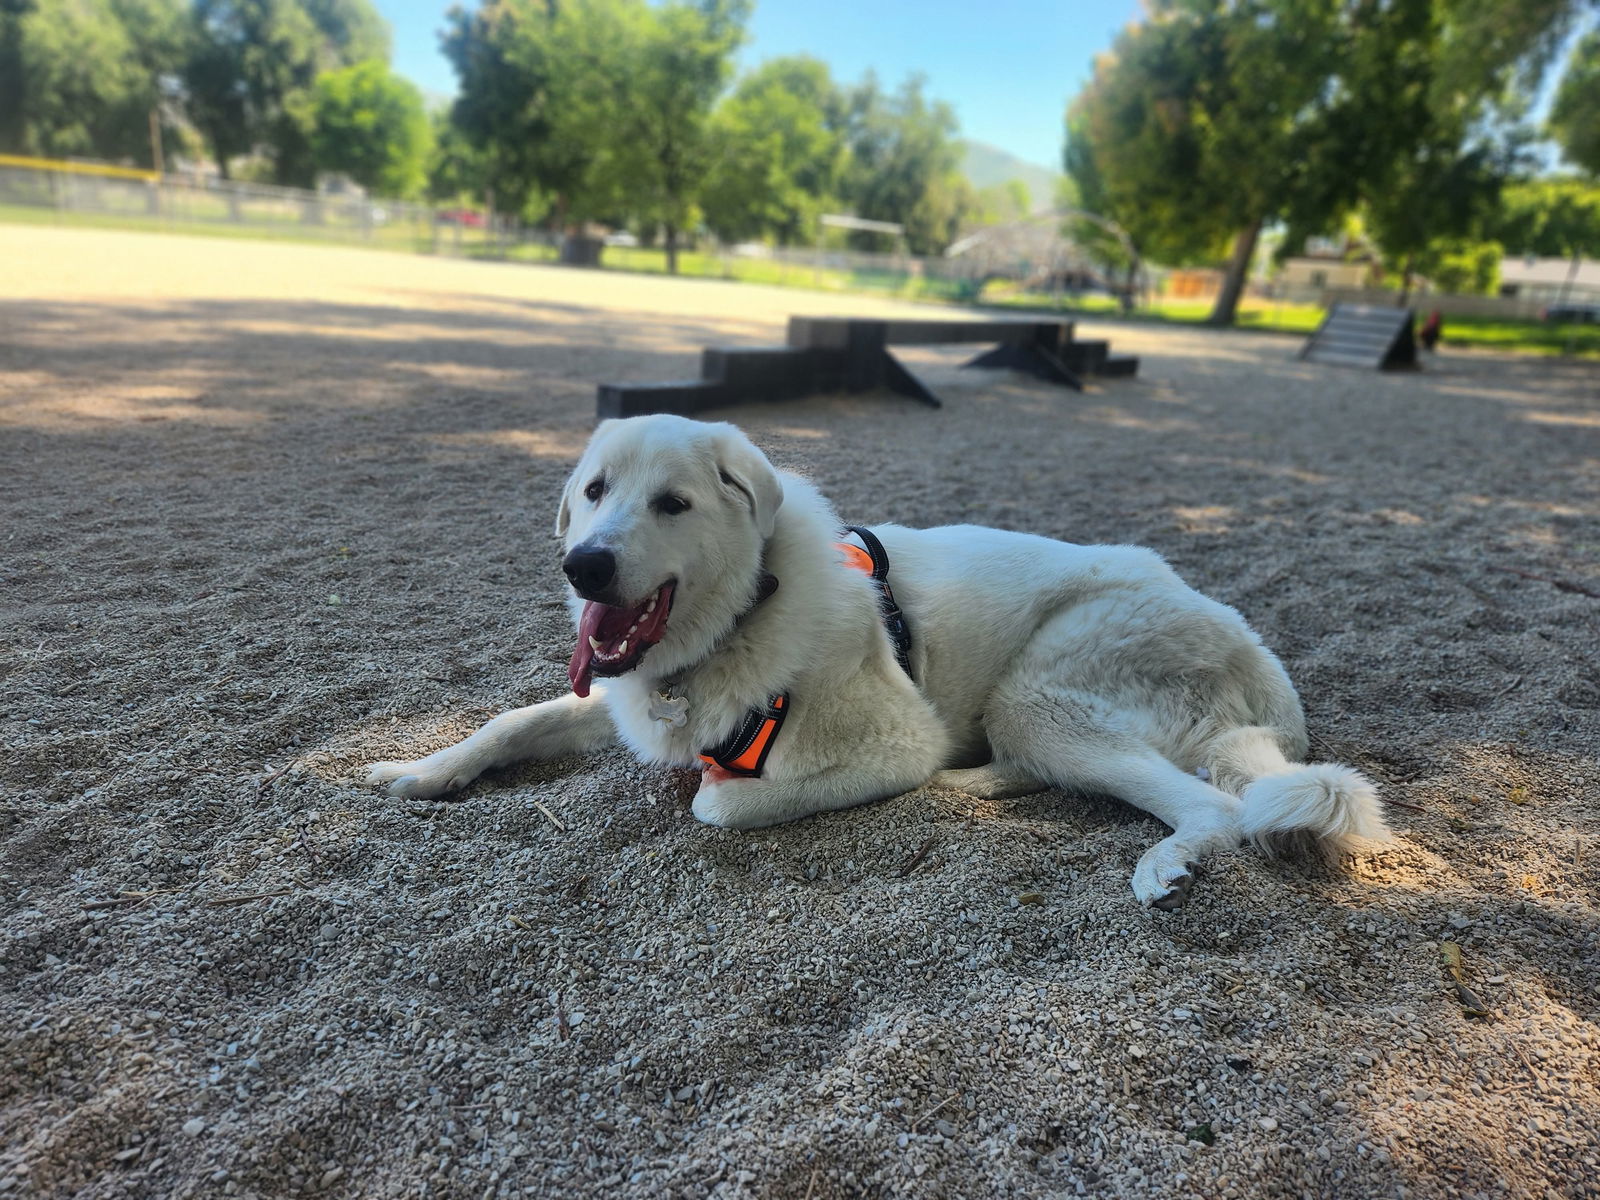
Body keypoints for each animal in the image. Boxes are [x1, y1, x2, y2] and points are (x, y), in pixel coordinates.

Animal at [371, 419, 1388, 908]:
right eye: (593, 491)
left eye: (672, 503)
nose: (583, 566)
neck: (746, 607)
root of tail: (1262, 668)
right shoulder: (623, 700)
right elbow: (515, 718)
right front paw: (421, 769)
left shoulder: (891, 742)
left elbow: (713, 803)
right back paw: (974, 788)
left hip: (1044, 693)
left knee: (1213, 806)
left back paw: (1166, 861)